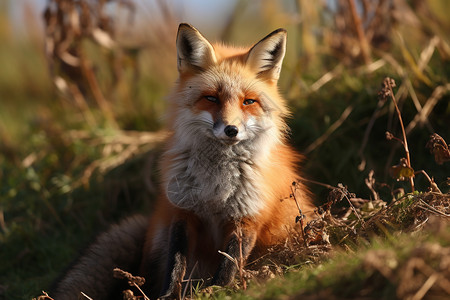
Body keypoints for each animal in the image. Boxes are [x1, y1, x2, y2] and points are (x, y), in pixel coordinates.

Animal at [51, 24, 314, 300]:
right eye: (212, 98)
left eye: (248, 101)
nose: (231, 130)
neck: (215, 187)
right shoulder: (183, 211)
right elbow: (176, 264)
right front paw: (169, 296)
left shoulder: (248, 216)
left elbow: (230, 263)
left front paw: (217, 291)